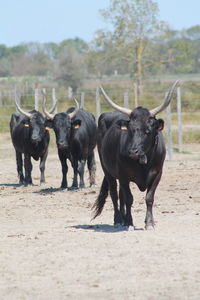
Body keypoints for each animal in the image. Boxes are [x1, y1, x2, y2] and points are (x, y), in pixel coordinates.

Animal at [93, 81, 179, 229]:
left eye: (148, 130)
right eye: (130, 130)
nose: (133, 152)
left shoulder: (157, 174)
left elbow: (149, 198)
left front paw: (149, 223)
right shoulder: (123, 175)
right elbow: (129, 198)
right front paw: (129, 222)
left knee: (120, 194)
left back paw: (122, 218)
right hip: (107, 170)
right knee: (114, 194)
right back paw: (118, 220)